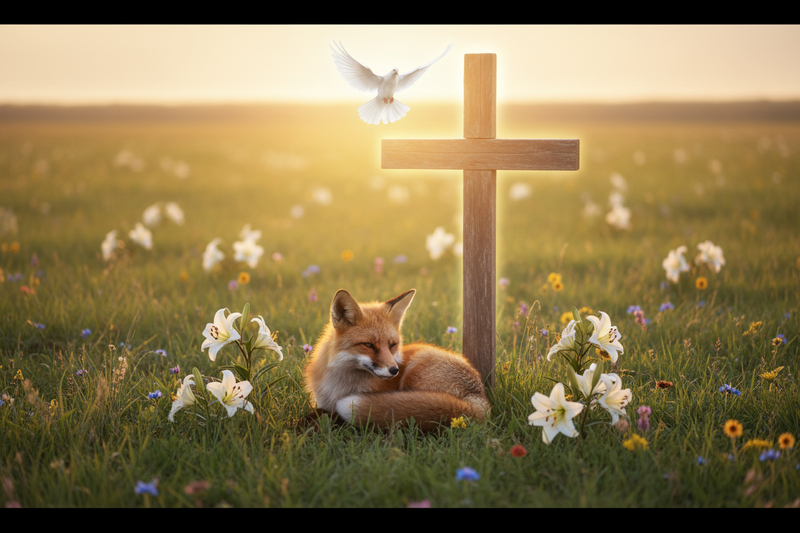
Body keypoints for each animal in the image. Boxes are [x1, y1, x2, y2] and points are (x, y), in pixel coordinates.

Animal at [303, 288, 490, 433]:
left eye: (392, 345)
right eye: (368, 345)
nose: (394, 370)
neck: (339, 385)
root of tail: (480, 400)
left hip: (416, 372)